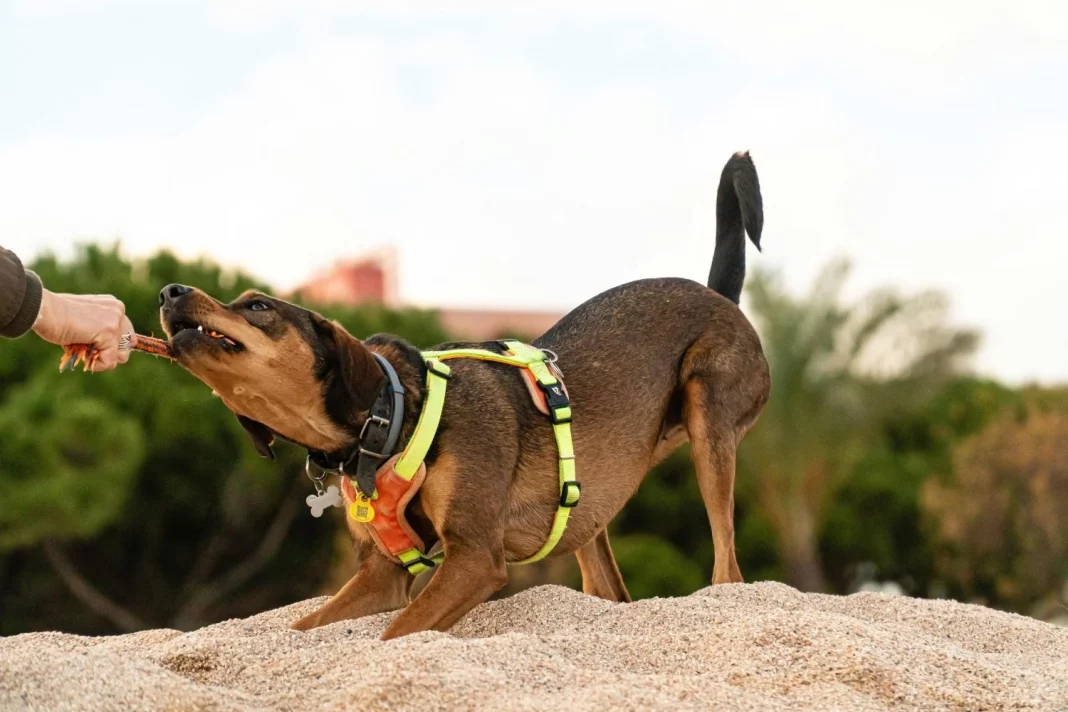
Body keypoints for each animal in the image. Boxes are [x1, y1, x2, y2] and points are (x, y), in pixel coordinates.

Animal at [155, 150, 768, 640]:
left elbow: (394, 636)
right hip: (585, 501)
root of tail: (718, 295)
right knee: (610, 590)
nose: (168, 290)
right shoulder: (380, 575)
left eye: (258, 305)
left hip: (709, 419)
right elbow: (301, 627)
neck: (389, 418)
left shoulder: (474, 558)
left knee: (730, 573)